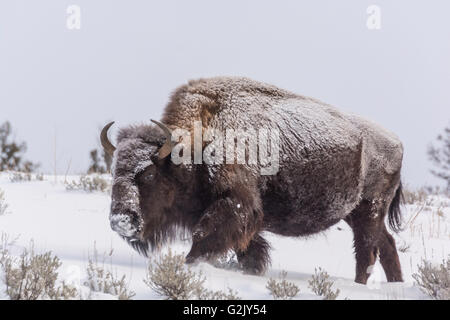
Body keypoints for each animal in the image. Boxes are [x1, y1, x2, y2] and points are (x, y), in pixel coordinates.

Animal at [101, 76, 404, 284]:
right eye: (114, 170)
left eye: (149, 173)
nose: (120, 219)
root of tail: (396, 141)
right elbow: (248, 250)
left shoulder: (236, 205)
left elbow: (204, 237)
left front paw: (192, 265)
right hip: (355, 214)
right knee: (386, 244)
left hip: (369, 210)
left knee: (367, 250)